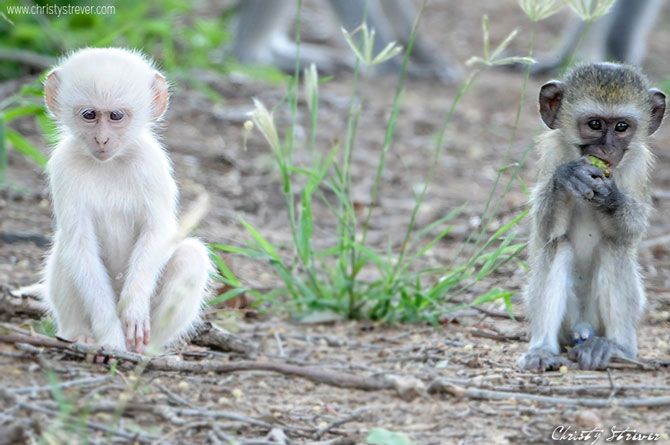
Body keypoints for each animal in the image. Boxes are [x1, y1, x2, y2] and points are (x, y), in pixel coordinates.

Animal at [43, 47, 211, 354]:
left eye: (116, 115)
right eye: (89, 115)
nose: (102, 139)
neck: (110, 163)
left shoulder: (152, 164)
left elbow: (158, 233)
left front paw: (134, 309)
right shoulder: (63, 166)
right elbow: (80, 244)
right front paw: (110, 336)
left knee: (191, 256)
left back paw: (145, 352)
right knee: (68, 251)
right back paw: (81, 336)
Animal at [520, 61, 668, 368]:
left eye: (622, 126)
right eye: (595, 124)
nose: (607, 149)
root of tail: (583, 328)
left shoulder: (637, 163)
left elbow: (634, 227)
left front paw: (609, 197)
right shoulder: (552, 151)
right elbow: (545, 229)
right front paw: (567, 176)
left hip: (599, 323)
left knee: (614, 247)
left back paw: (616, 348)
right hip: (567, 324)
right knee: (557, 245)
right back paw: (542, 349)